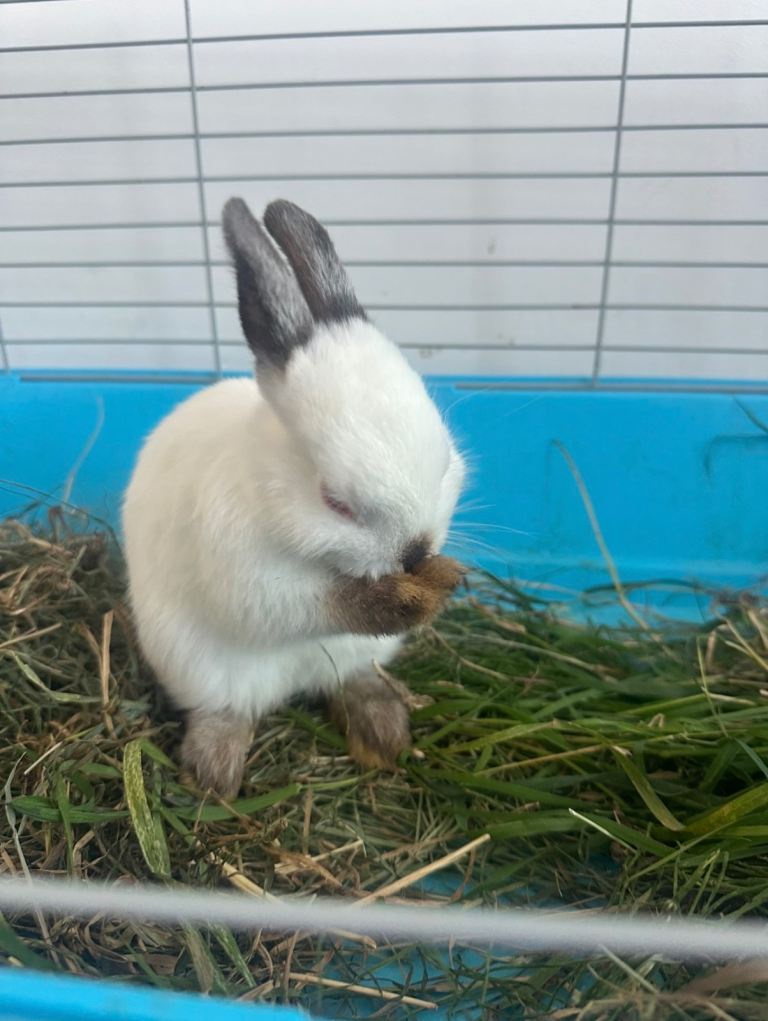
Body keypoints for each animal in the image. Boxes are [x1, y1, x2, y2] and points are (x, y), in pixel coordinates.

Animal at [122, 197, 466, 799]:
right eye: (335, 502)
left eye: (446, 459)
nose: (416, 552)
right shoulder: (253, 581)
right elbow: (318, 605)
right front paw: (408, 598)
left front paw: (444, 580)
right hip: (200, 668)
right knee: (225, 711)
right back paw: (214, 776)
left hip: (358, 656)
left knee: (351, 680)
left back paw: (384, 733)